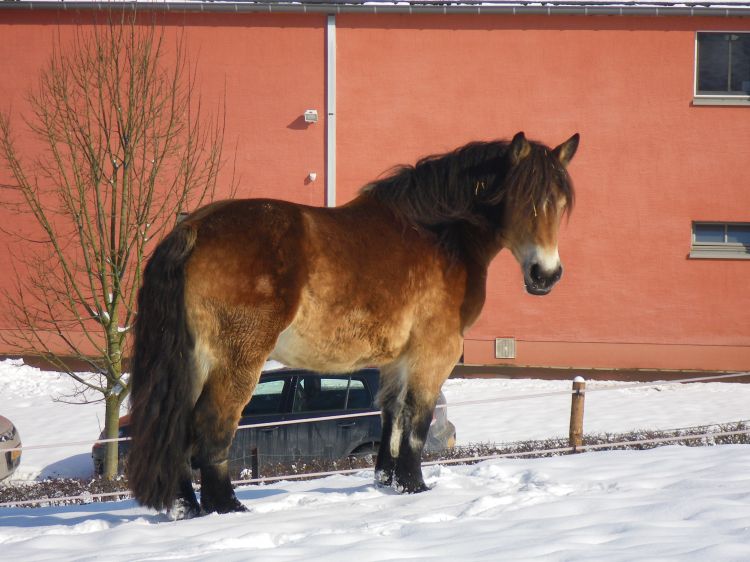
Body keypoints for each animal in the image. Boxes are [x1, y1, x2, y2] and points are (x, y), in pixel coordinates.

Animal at [128, 130, 580, 516]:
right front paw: (415, 486)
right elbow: (416, 420)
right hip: (238, 360)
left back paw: (185, 507)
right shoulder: (435, 352)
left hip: (196, 360)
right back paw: (227, 508)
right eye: (520, 199)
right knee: (211, 425)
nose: (545, 275)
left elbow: (391, 415)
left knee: (177, 427)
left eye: (559, 204)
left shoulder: (397, 358)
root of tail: (192, 228)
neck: (437, 235)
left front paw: (388, 481)